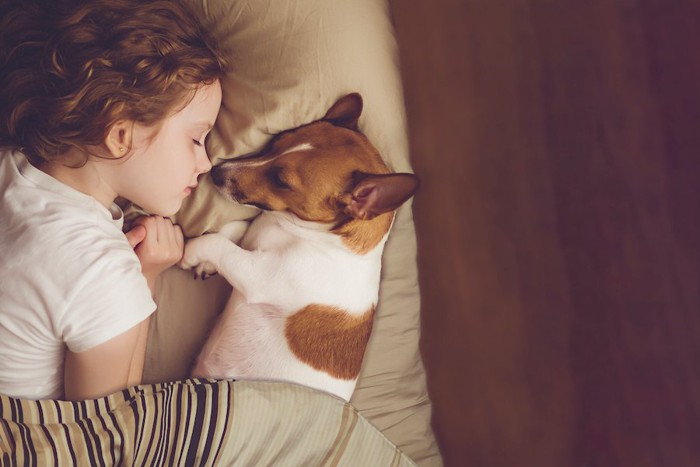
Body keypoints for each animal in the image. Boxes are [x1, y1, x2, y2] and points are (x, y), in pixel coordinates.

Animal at [180, 93, 418, 400]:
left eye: (281, 181)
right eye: (275, 143)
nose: (216, 171)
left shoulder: (258, 276)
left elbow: (217, 243)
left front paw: (190, 252)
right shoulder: (253, 238)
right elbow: (235, 230)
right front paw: (206, 263)